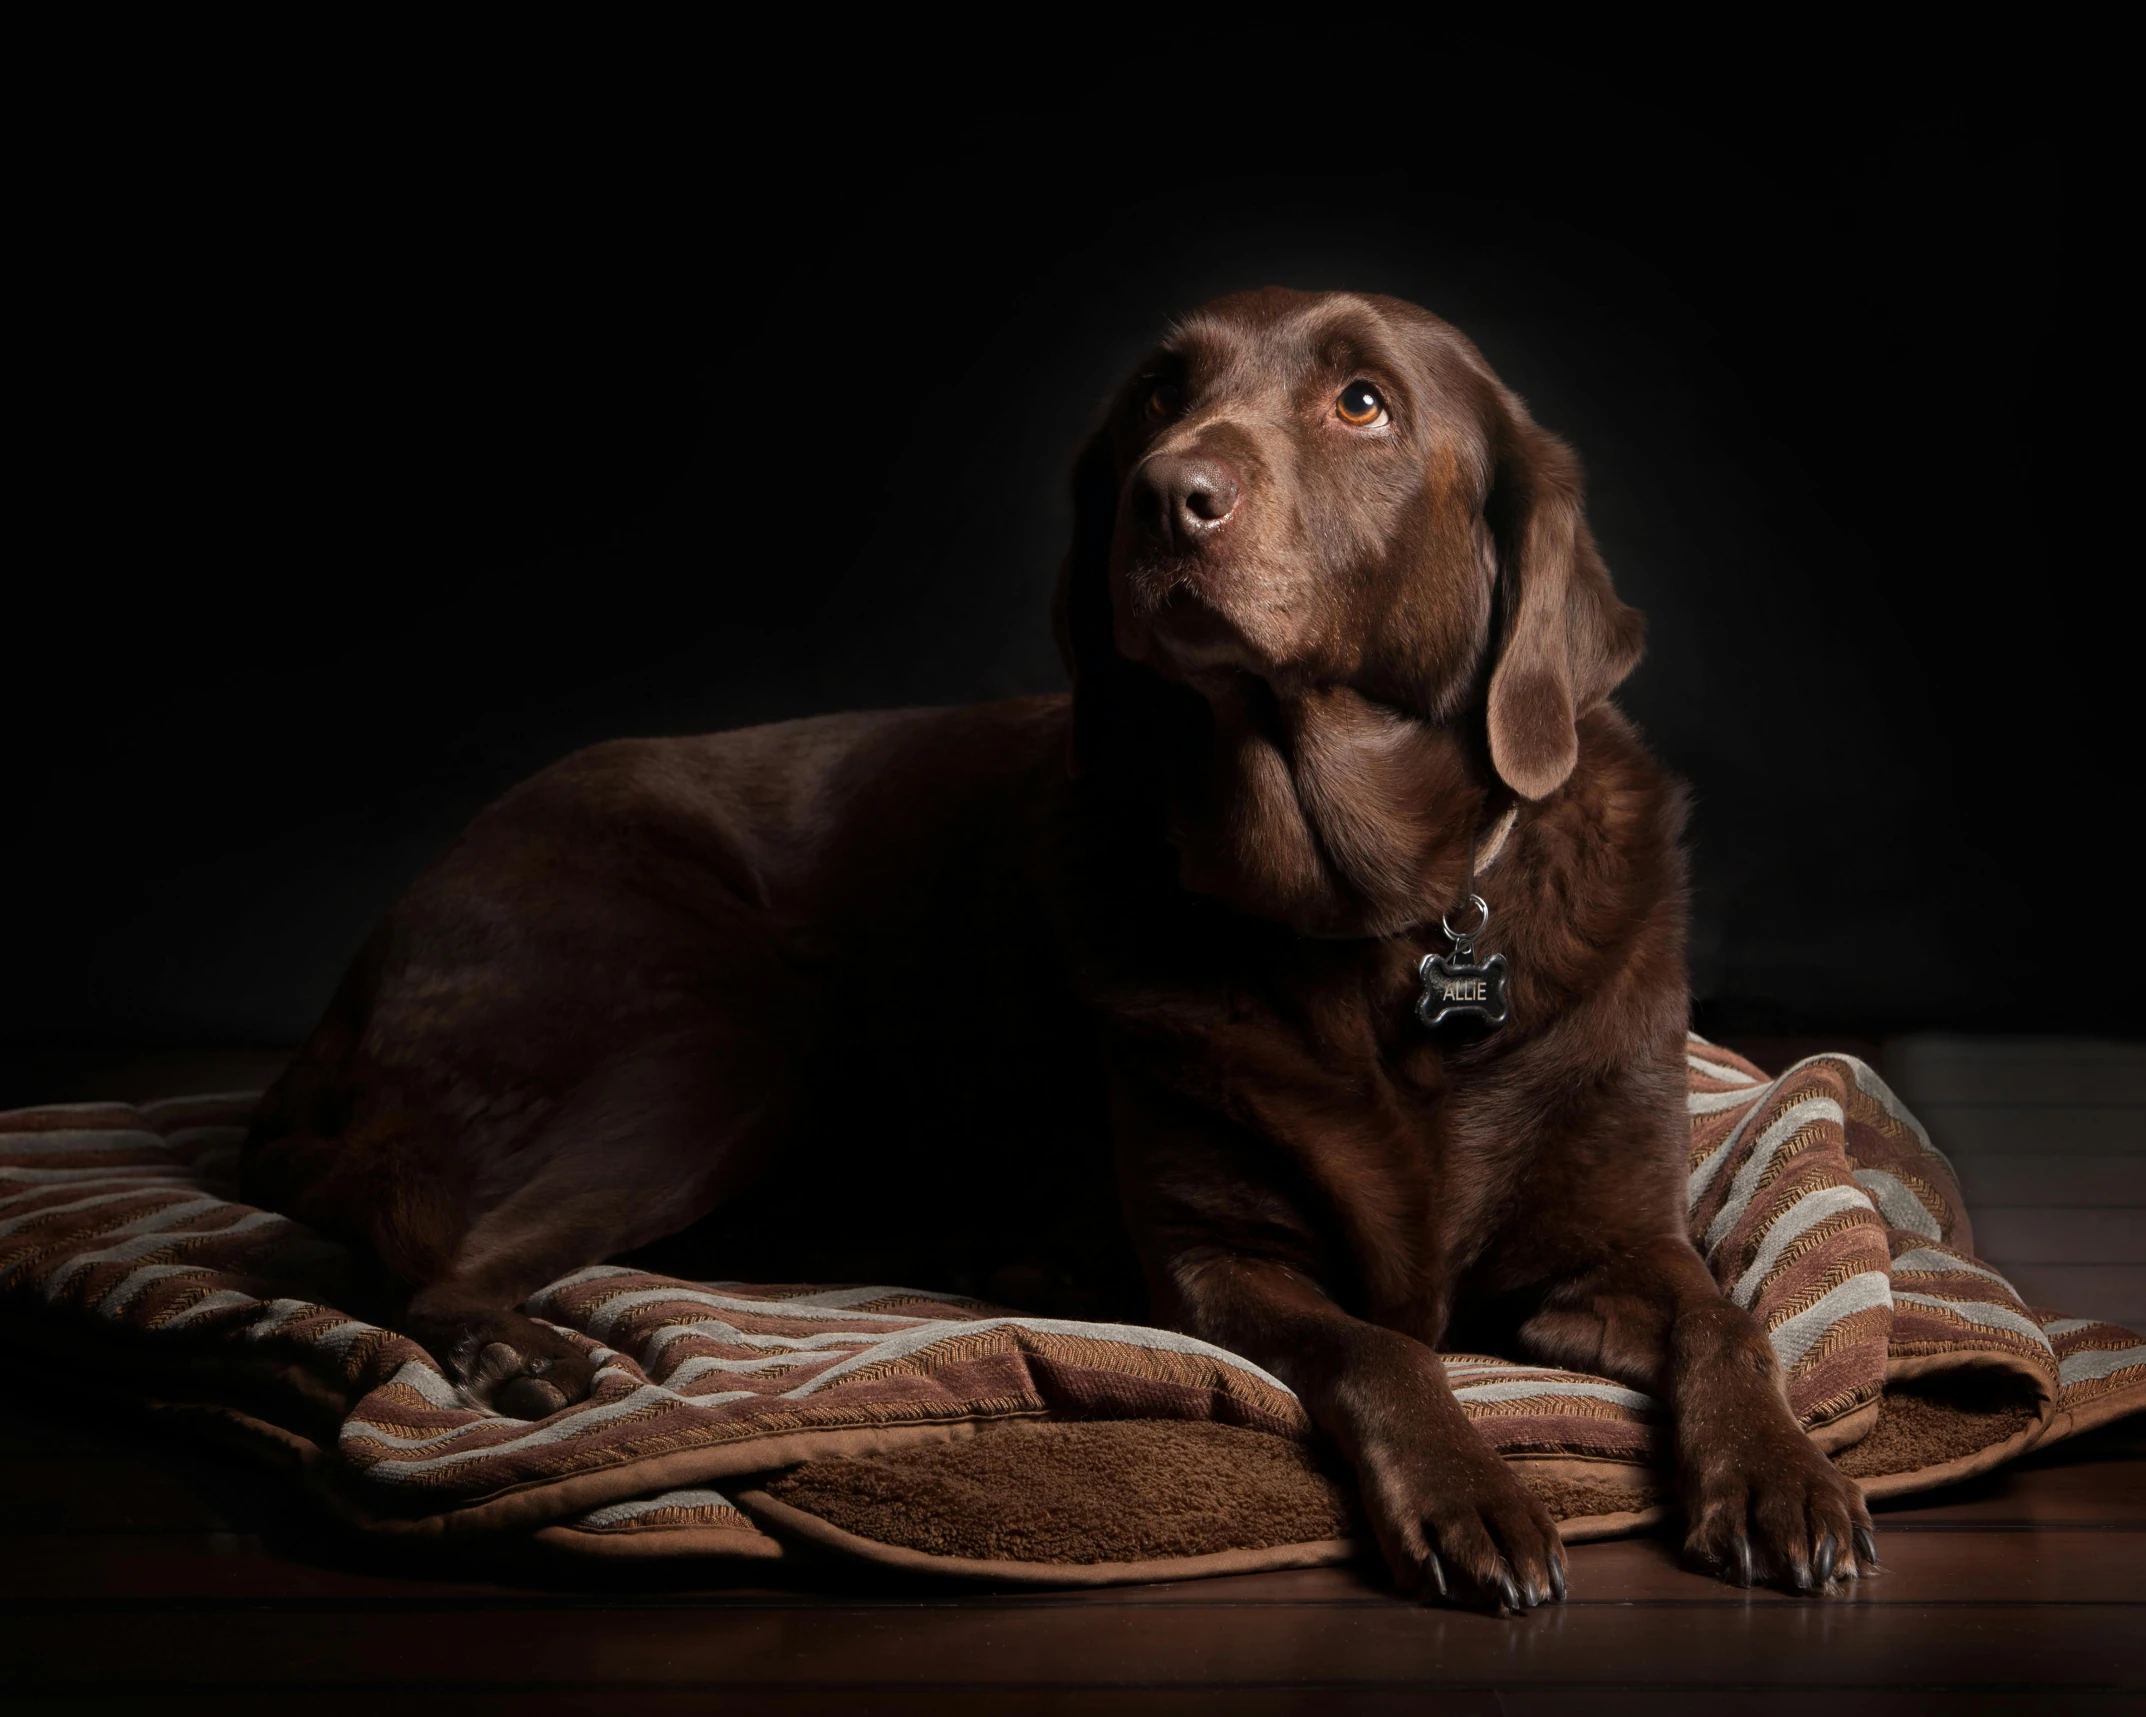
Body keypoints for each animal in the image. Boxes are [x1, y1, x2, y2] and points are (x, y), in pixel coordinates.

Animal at [243, 285, 1871, 1613]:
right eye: (1157, 394)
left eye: (1363, 402)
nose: (1167, 495)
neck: (1370, 918)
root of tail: (334, 1010)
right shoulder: (1223, 1264)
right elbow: (1385, 1348)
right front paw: (1475, 1491)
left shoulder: (1610, 1245)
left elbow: (1732, 1322)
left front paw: (1782, 1475)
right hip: (720, 1041)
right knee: (424, 1260)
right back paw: (539, 1351)